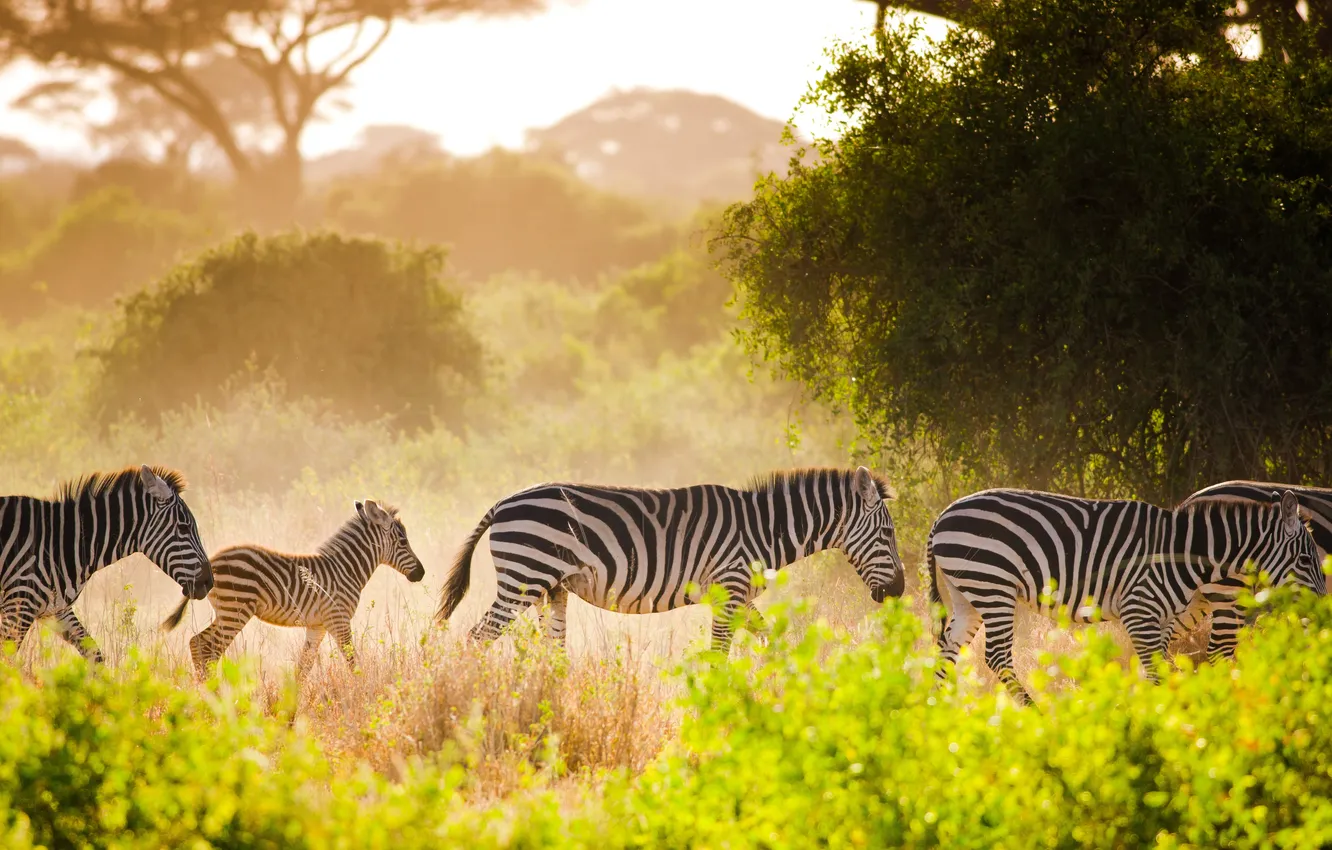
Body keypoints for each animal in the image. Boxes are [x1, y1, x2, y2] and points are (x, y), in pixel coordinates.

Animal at [0, 465, 212, 664]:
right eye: (183, 528)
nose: (209, 582)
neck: (61, 543)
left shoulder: (56, 609)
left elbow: (95, 655)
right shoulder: (20, 603)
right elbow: (6, 661)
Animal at [162, 500, 425, 680]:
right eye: (403, 542)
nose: (421, 573)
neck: (346, 569)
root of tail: (211, 561)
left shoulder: (317, 625)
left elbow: (303, 668)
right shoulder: (339, 619)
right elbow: (352, 661)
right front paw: (362, 690)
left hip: (227, 612)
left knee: (197, 643)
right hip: (235, 610)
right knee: (207, 647)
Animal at [435, 466, 905, 654]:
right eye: (888, 535)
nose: (900, 591)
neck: (762, 529)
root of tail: (502, 503)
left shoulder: (741, 598)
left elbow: (774, 639)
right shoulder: (728, 591)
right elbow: (718, 654)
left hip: (551, 589)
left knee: (551, 652)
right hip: (523, 579)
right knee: (475, 639)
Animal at [927, 488, 1322, 704]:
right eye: (1306, 559)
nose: (1319, 611)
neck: (1185, 553)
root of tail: (941, 515)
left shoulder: (1163, 619)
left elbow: (1158, 668)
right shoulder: (1140, 610)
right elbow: (1158, 671)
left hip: (967, 592)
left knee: (948, 648)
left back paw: (933, 717)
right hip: (993, 584)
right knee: (995, 655)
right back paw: (1035, 714)